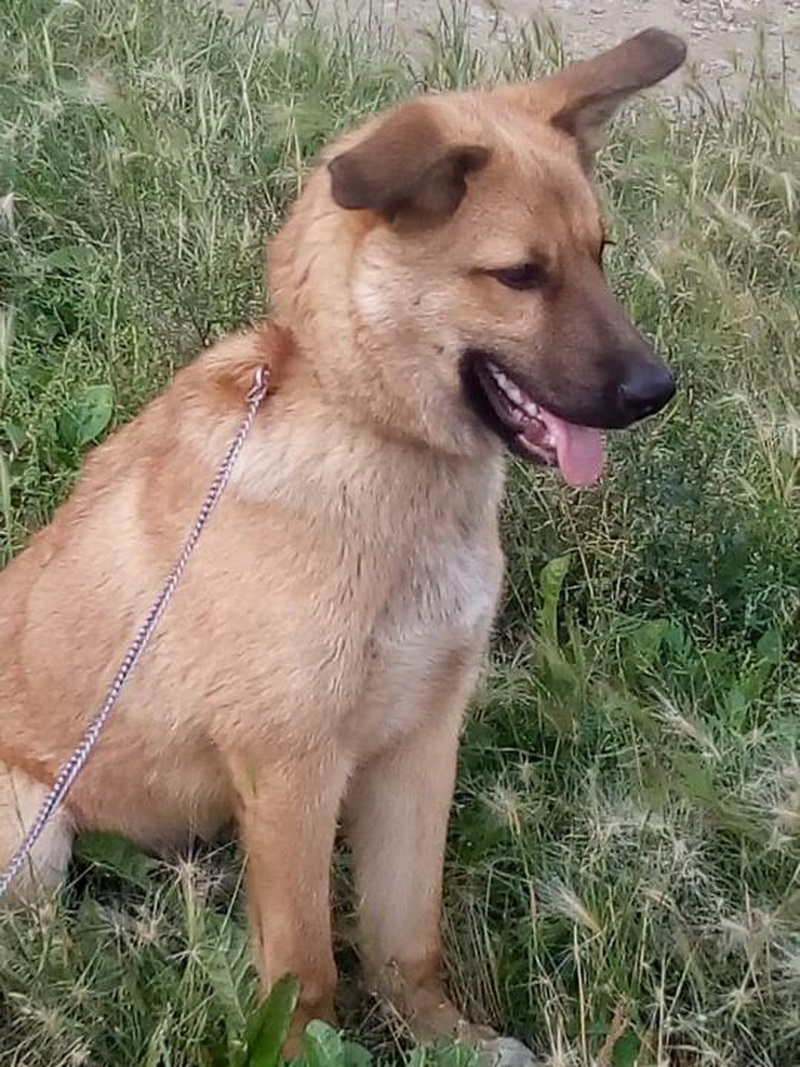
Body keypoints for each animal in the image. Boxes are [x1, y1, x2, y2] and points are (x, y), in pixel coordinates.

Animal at [0, 28, 686, 1061]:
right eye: (520, 276)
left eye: (600, 256)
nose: (657, 391)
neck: (374, 440)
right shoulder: (292, 771)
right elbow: (307, 965)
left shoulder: (420, 744)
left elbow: (406, 936)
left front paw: (445, 1036)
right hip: (31, 831)